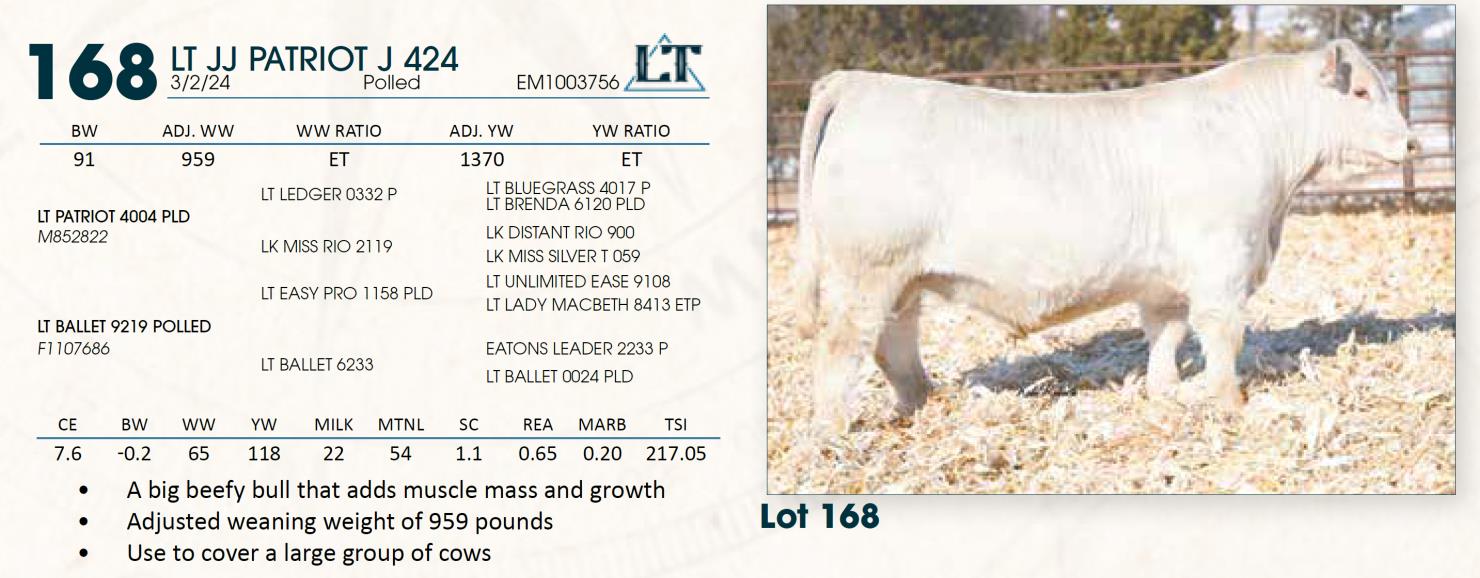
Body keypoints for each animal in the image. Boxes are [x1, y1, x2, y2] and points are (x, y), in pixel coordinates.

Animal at [791, 39, 1419, 434]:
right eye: (1361, 93)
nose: (1412, 143)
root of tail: (855, 82)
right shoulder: (1222, 263)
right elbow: (1223, 336)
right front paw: (1230, 403)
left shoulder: (1166, 284)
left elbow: (1166, 337)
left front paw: (1166, 392)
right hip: (866, 270)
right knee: (841, 346)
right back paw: (833, 431)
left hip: (901, 277)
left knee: (892, 341)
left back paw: (923, 404)